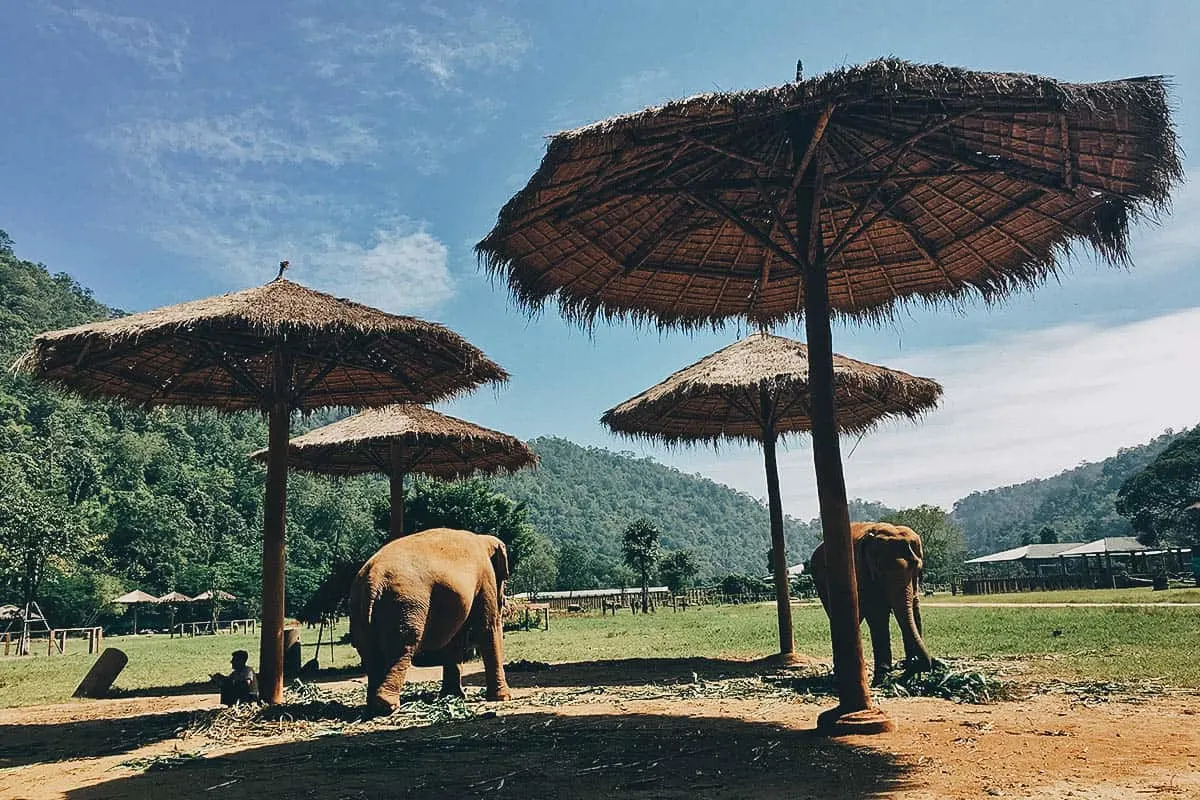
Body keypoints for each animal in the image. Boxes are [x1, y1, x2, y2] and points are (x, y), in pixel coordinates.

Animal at [350, 525, 513, 714]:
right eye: (505, 579)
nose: (506, 603)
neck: (482, 538)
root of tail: (373, 578)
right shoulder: (485, 576)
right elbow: (488, 627)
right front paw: (503, 698)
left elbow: (455, 639)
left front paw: (453, 696)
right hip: (405, 606)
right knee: (404, 646)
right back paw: (388, 706)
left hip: (360, 611)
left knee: (370, 653)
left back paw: (373, 707)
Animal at [811, 522, 931, 686]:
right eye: (881, 572)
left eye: (918, 569)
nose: (903, 664)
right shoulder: (864, 573)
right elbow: (877, 614)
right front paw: (880, 680)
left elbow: (913, 610)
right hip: (822, 584)